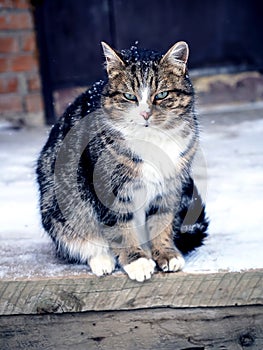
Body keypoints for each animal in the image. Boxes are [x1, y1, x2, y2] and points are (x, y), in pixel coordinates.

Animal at [37, 41, 209, 282]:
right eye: (129, 96)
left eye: (162, 94)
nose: (145, 114)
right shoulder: (107, 187)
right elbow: (120, 226)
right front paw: (137, 261)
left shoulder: (170, 187)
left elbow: (161, 220)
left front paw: (166, 254)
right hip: (59, 206)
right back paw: (103, 260)